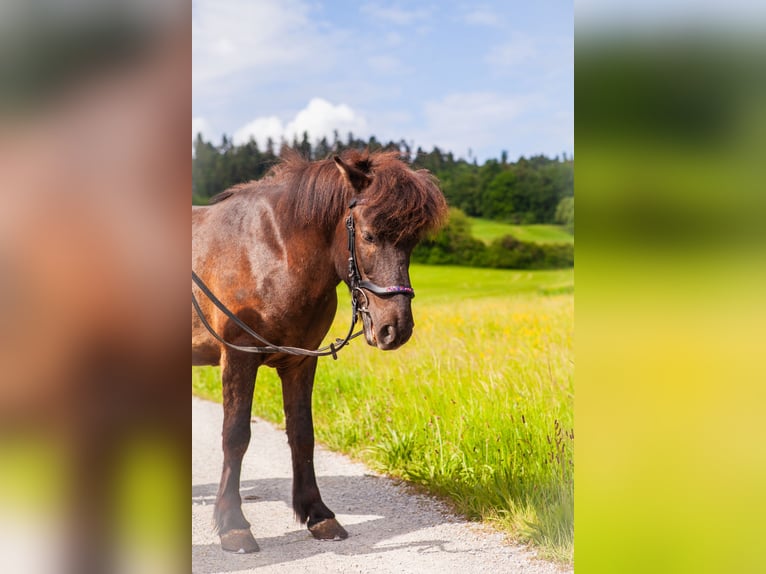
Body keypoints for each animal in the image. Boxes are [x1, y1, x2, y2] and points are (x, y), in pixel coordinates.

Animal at [192, 148, 448, 552]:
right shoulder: (238, 357)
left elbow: (302, 434)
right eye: (369, 235)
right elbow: (235, 436)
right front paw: (233, 524)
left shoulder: (300, 361)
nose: (395, 329)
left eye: (411, 243)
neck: (270, 252)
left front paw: (317, 514)